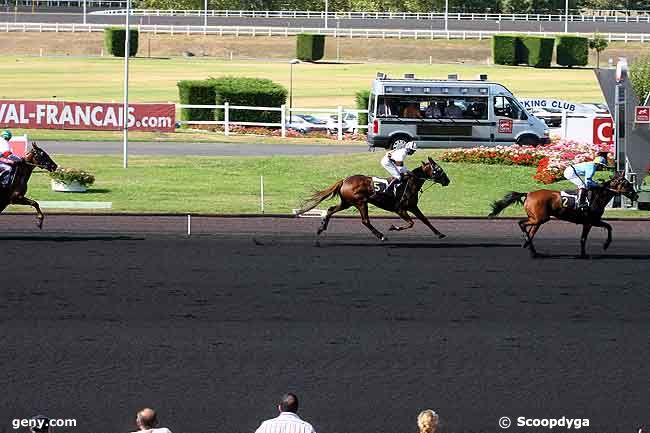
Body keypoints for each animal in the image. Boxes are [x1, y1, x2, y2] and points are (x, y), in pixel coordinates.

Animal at [296, 156, 448, 240]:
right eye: (439, 169)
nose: (448, 181)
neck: (409, 183)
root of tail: (344, 180)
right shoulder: (400, 209)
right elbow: (411, 223)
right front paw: (393, 227)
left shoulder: (412, 206)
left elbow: (425, 219)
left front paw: (440, 234)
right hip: (361, 202)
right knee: (365, 221)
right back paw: (381, 235)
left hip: (347, 203)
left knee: (331, 209)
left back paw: (321, 228)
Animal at [488, 170, 636, 256]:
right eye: (627, 184)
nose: (635, 195)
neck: (597, 196)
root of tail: (528, 194)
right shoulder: (591, 221)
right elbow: (607, 228)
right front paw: (604, 246)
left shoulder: (589, 222)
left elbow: (591, 235)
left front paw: (585, 253)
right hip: (540, 218)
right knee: (522, 224)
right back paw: (528, 244)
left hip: (537, 219)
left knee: (530, 231)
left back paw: (531, 248)